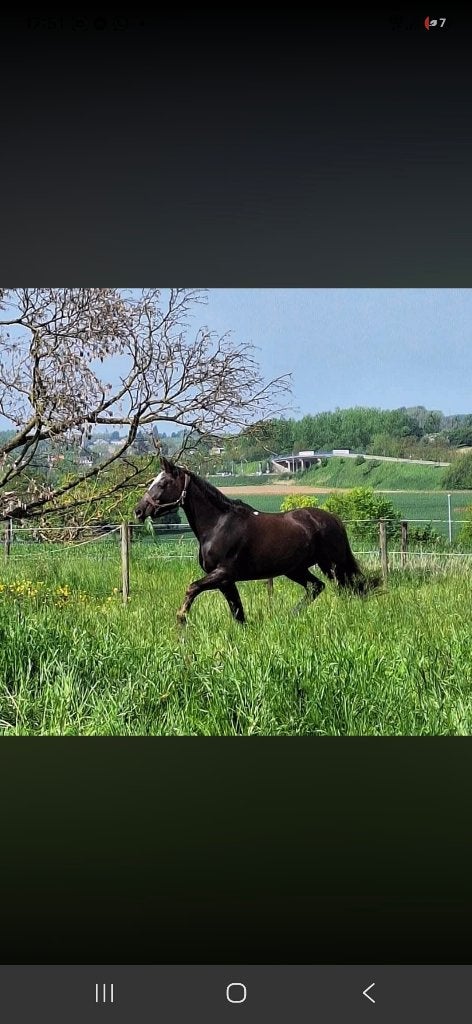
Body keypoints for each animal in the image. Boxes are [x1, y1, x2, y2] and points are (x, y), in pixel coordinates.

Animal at [134, 457, 379, 625]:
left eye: (163, 483)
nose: (138, 510)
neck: (218, 525)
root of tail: (333, 519)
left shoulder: (223, 574)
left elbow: (192, 588)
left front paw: (181, 617)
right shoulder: (225, 581)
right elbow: (238, 612)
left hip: (332, 565)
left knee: (348, 588)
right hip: (295, 569)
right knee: (316, 587)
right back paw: (289, 617)